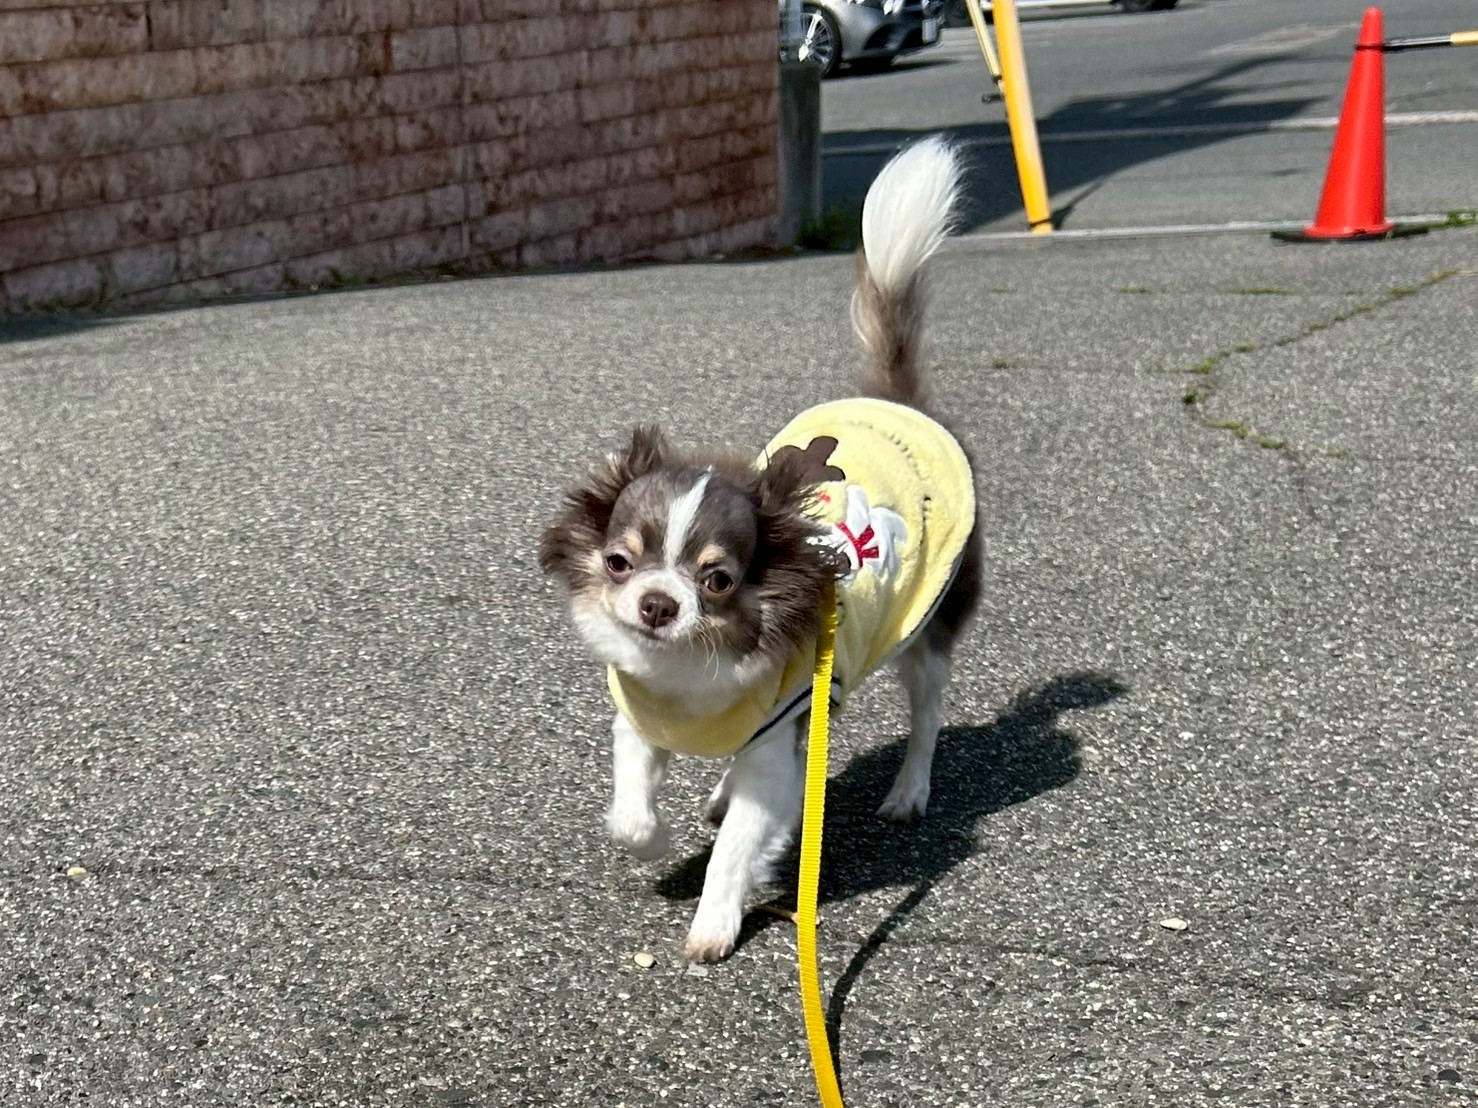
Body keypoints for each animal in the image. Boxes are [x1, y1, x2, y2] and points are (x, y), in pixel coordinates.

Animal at [540, 137, 981, 963]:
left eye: (717, 580)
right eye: (620, 563)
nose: (657, 604)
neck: (691, 673)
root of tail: (897, 402)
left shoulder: (777, 748)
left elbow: (739, 845)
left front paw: (714, 923)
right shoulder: (641, 727)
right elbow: (631, 812)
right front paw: (655, 843)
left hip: (927, 632)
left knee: (929, 713)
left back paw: (908, 791)